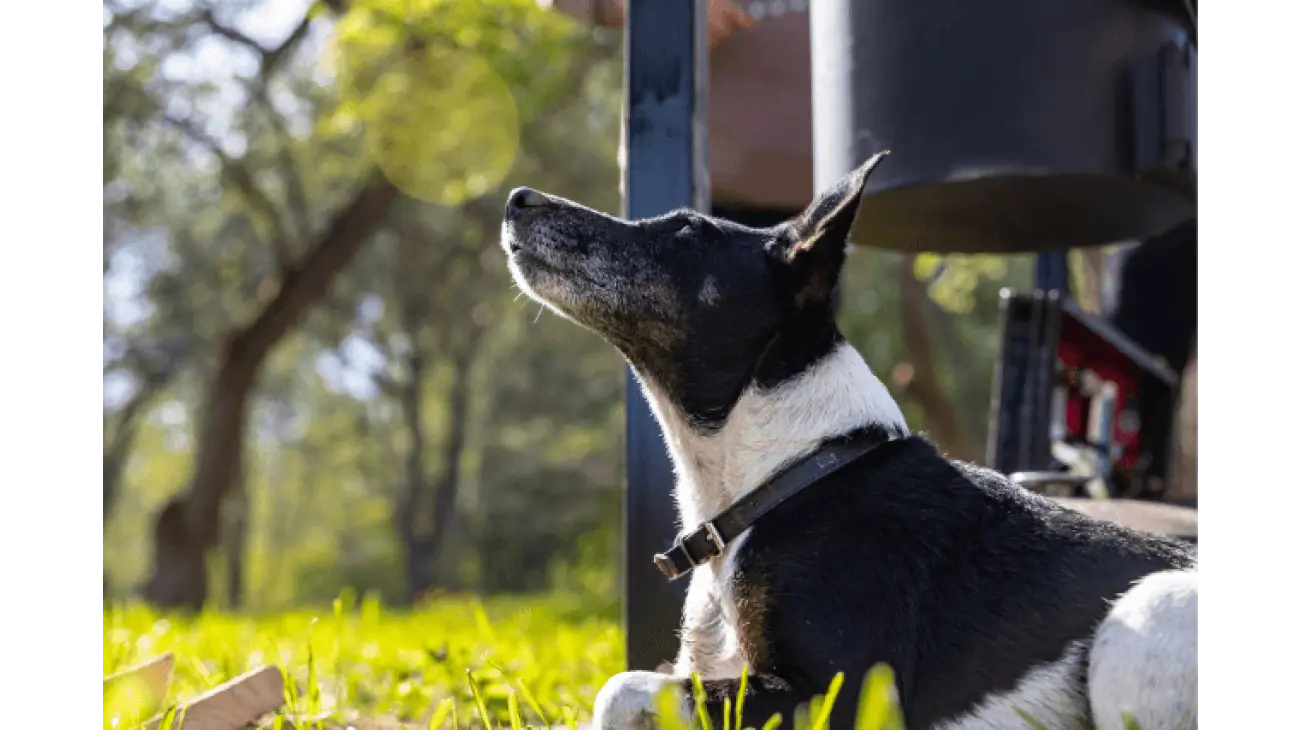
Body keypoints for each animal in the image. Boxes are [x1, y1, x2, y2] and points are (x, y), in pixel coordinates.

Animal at [496, 150, 1196, 722]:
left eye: (687, 232)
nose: (518, 198)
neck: (790, 473)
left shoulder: (839, 691)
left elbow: (618, 689)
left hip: (1140, 613)